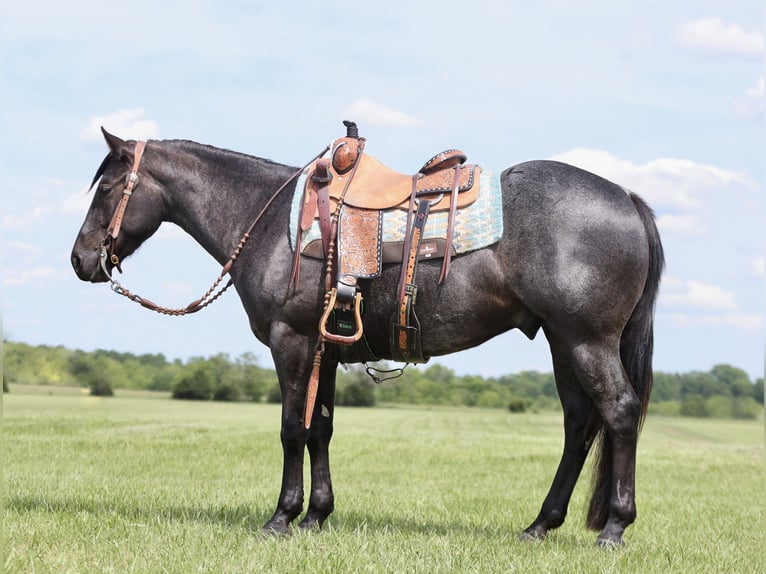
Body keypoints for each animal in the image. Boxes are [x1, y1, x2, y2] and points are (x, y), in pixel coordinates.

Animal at [75, 128, 668, 548]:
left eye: (105, 186)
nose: (81, 260)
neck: (270, 222)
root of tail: (626, 197)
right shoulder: (327, 350)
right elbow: (320, 430)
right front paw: (316, 515)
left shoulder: (292, 342)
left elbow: (292, 429)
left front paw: (282, 517)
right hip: (563, 344)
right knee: (579, 426)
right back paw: (540, 525)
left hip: (587, 341)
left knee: (617, 413)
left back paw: (614, 528)